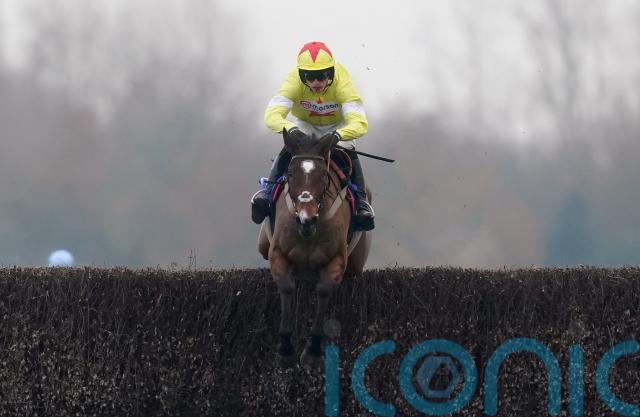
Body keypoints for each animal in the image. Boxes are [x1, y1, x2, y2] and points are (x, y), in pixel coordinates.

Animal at [257, 128, 372, 368]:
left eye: (323, 175)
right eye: (291, 173)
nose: (306, 218)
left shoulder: (337, 259)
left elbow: (324, 290)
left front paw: (313, 350)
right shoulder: (277, 254)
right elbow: (287, 288)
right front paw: (285, 349)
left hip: (356, 263)